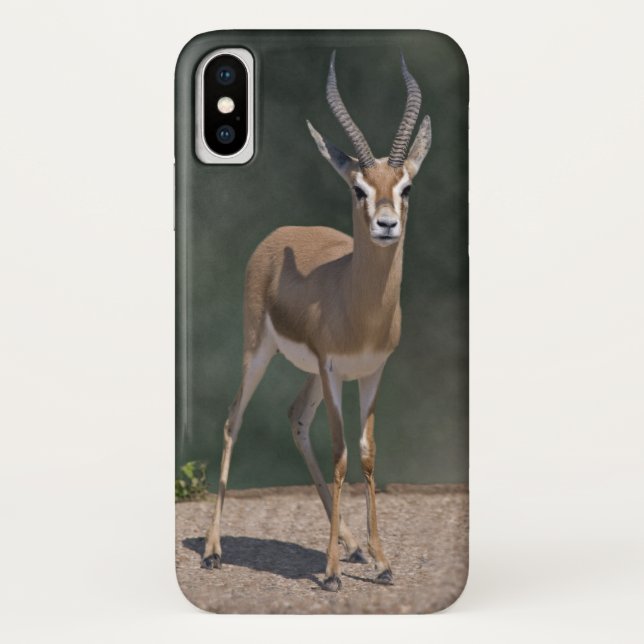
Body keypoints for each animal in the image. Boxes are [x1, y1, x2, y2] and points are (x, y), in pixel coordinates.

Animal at [201, 51, 432, 592]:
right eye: (358, 188)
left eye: (406, 186)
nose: (386, 224)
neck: (358, 306)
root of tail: (281, 233)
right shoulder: (331, 368)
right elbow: (341, 453)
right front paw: (328, 574)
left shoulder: (371, 371)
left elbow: (365, 454)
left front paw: (382, 562)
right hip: (260, 351)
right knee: (233, 419)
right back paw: (214, 551)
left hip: (313, 375)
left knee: (295, 417)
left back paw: (354, 547)